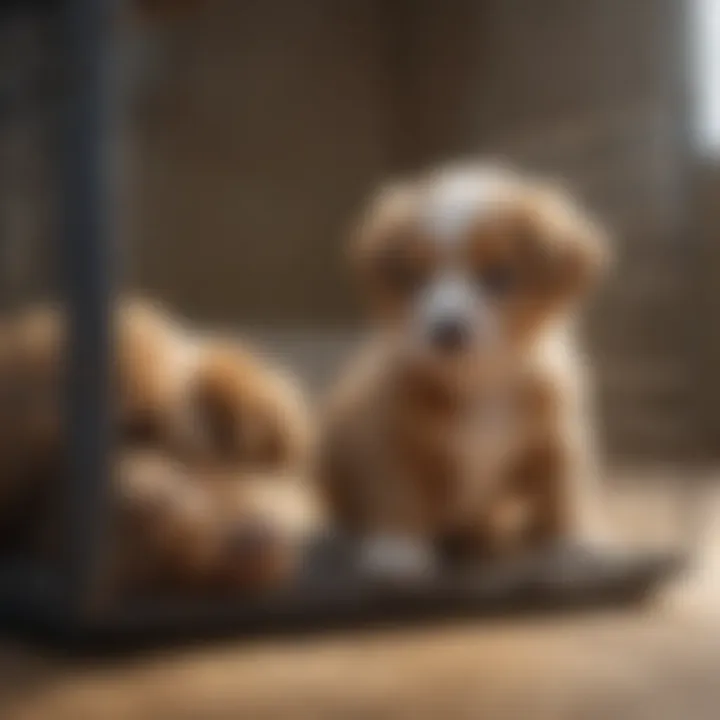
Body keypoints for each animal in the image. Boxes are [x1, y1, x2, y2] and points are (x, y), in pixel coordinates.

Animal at [318, 163, 612, 580]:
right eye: (415, 278)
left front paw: (571, 545)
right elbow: (399, 493)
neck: (480, 383)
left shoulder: (556, 441)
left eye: (498, 275)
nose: (446, 330)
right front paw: (397, 550)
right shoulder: (392, 439)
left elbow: (561, 493)